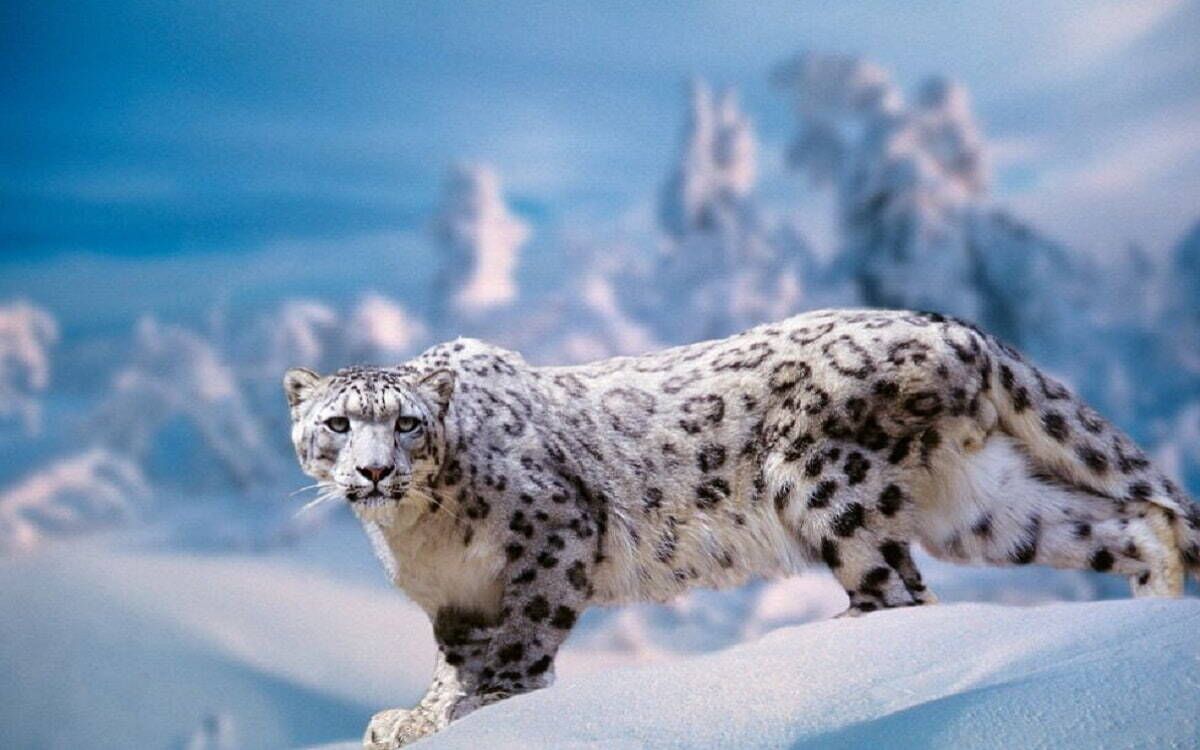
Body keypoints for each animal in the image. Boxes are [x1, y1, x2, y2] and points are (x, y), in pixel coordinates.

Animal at [283, 308, 1200, 748]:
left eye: (406, 425)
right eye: (338, 424)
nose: (375, 471)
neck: (418, 536)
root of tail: (956, 326)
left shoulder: (555, 535)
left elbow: (520, 643)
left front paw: (482, 709)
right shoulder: (456, 602)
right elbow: (453, 662)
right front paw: (415, 717)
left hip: (823, 479)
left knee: (899, 589)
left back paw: (820, 647)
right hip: (982, 504)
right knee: (1127, 521)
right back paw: (1152, 605)